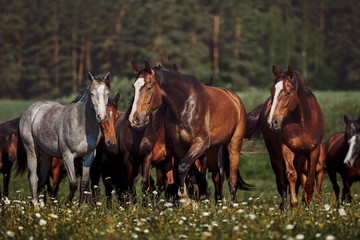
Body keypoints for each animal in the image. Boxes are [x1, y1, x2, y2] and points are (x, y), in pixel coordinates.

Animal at [19, 72, 109, 207]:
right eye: (92, 93)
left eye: (107, 93)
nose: (102, 116)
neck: (81, 124)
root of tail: (30, 110)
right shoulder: (68, 156)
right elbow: (73, 183)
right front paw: (68, 205)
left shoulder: (88, 156)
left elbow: (84, 183)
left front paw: (81, 207)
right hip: (31, 150)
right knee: (34, 179)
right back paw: (36, 207)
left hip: (46, 154)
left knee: (42, 178)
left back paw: (42, 206)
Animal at [129, 61, 250, 202]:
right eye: (133, 88)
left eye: (149, 88)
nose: (134, 119)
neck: (184, 104)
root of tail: (235, 99)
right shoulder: (181, 147)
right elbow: (189, 172)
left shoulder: (201, 142)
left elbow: (183, 168)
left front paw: (184, 195)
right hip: (214, 148)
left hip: (234, 145)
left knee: (232, 180)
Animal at [246, 66, 324, 210]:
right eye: (272, 91)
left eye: (288, 92)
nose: (272, 121)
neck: (303, 122)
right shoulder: (286, 148)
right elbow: (291, 175)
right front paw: (294, 206)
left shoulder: (314, 151)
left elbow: (309, 182)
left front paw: (309, 208)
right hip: (275, 156)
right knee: (281, 182)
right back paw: (284, 207)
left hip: (300, 157)